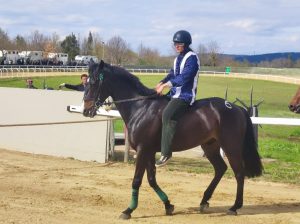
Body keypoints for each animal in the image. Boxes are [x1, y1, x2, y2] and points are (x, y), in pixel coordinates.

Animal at [82, 60, 262, 220]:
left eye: (94, 82)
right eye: (86, 82)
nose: (86, 110)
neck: (141, 107)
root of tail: (235, 107)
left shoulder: (142, 150)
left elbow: (137, 180)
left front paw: (128, 210)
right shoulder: (149, 151)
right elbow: (152, 180)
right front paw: (168, 205)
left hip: (231, 147)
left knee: (239, 173)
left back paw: (234, 207)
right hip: (210, 146)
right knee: (220, 169)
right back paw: (204, 201)